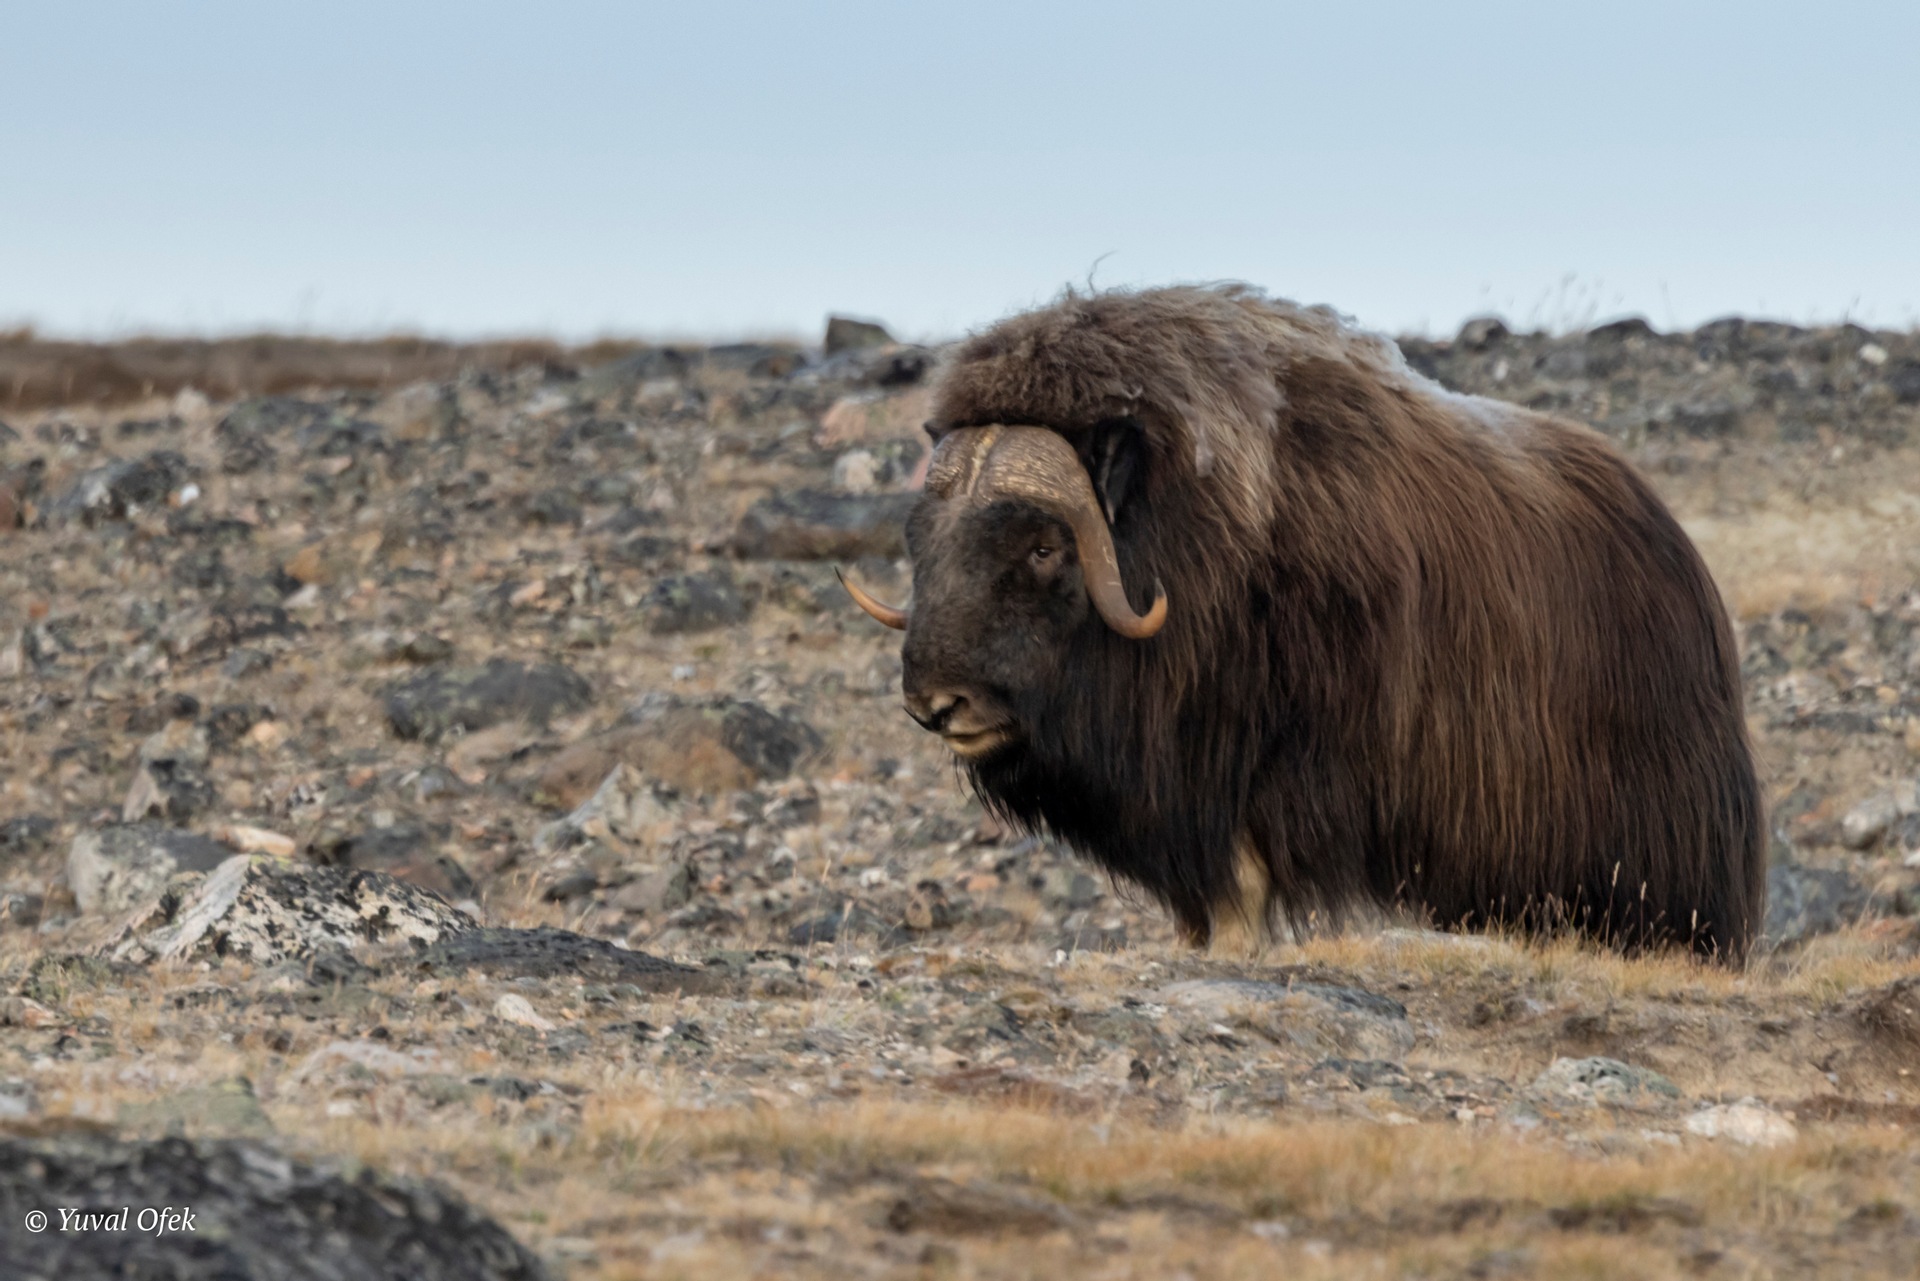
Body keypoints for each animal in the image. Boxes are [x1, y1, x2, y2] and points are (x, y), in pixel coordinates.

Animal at [843, 285, 1764, 960]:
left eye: (1042, 545)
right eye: (923, 538)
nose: (936, 702)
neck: (1192, 540)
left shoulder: (1268, 765)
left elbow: (1244, 882)